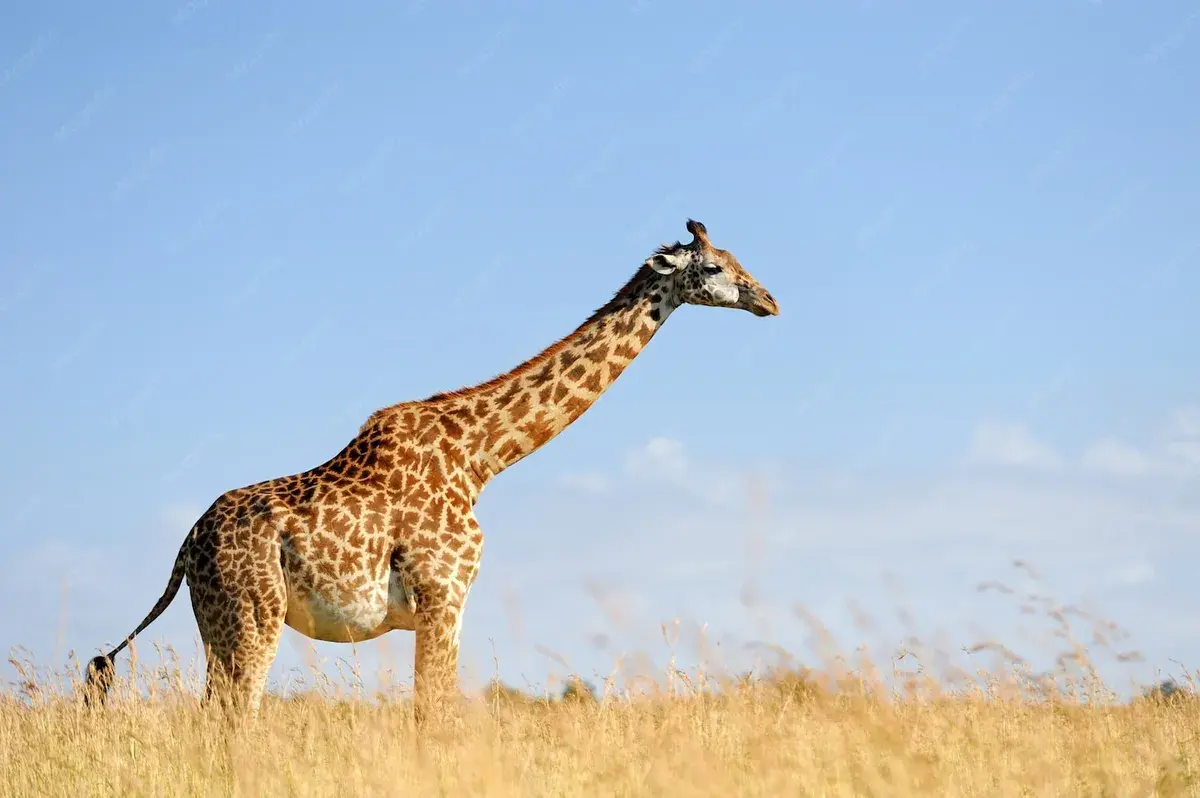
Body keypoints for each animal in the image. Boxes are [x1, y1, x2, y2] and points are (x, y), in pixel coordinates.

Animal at [82, 218, 779, 723]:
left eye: (738, 257)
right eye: (713, 267)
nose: (770, 300)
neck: (481, 458)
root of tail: (185, 547)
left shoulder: (447, 606)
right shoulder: (443, 595)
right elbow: (433, 713)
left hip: (222, 623)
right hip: (250, 616)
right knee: (230, 717)